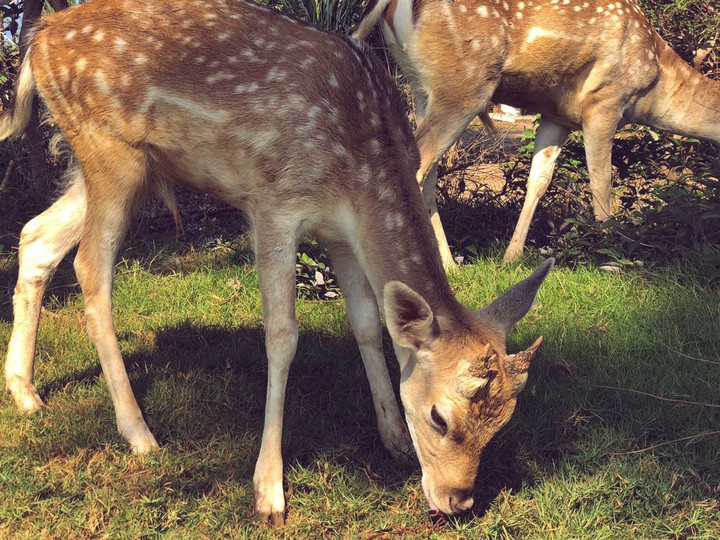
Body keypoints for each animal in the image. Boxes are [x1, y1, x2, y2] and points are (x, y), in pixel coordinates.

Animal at [0, 0, 553, 526]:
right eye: (440, 417)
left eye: (503, 422)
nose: (458, 500)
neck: (357, 176)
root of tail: (39, 38)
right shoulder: (274, 205)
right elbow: (282, 336)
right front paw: (268, 492)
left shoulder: (342, 234)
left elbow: (367, 323)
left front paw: (393, 436)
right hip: (109, 148)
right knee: (90, 268)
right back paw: (139, 434)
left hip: (119, 166)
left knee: (36, 236)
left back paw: (25, 393)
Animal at [353, 0, 720, 264]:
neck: (656, 83)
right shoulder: (605, 101)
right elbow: (601, 183)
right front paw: (611, 256)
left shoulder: (559, 116)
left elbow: (539, 181)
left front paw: (511, 257)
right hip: (465, 84)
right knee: (413, 170)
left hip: (422, 87)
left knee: (427, 173)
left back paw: (450, 265)